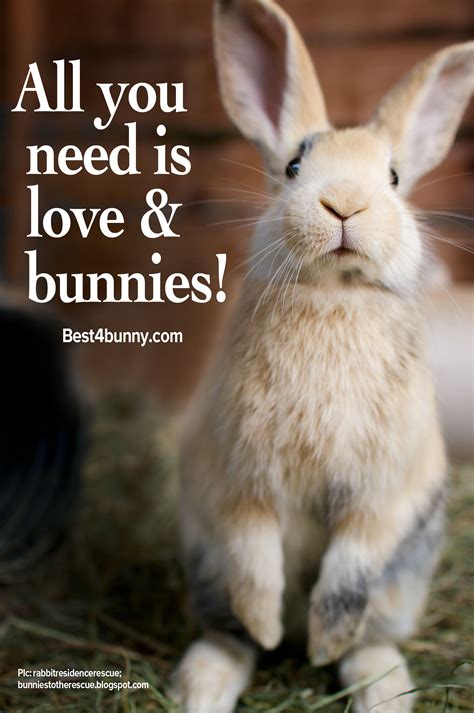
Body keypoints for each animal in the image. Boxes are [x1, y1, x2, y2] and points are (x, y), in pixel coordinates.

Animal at [170, 1, 474, 711]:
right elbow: (254, 561)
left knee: (370, 633)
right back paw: (210, 678)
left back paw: (375, 683)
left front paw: (321, 643)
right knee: (232, 633)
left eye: (393, 177)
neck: (334, 295)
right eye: (291, 168)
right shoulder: (237, 480)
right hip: (205, 566)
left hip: (402, 582)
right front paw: (270, 625)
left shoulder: (381, 495)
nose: (344, 204)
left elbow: (346, 575)